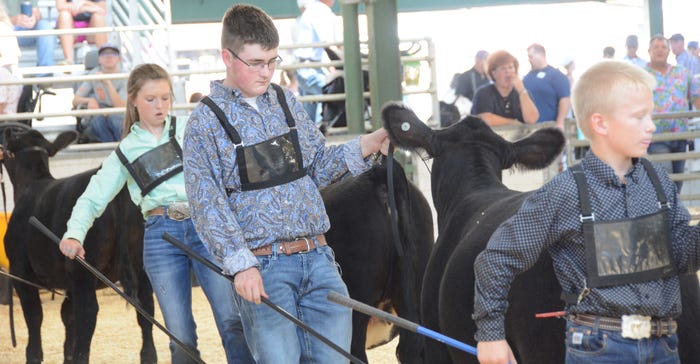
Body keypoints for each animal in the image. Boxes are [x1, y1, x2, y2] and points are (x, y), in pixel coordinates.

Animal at [1, 129, 154, 362]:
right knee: (146, 307)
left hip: (83, 267)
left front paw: (34, 355)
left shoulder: (21, 271)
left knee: (88, 312)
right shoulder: (69, 283)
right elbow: (67, 317)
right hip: (141, 263)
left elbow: (35, 315)